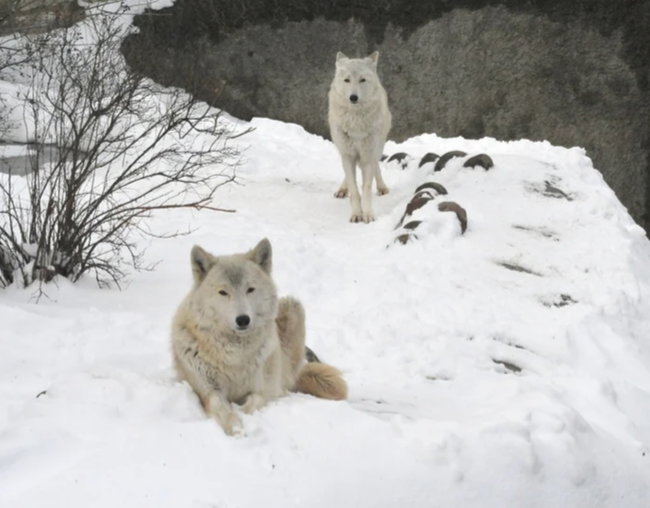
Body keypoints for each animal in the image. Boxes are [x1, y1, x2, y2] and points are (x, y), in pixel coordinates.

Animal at [170, 238, 346, 436]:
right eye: (223, 292)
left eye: (250, 289)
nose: (243, 319)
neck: (234, 354)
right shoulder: (209, 391)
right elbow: (222, 409)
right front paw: (236, 430)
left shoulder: (258, 389)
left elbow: (252, 404)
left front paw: (243, 419)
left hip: (292, 306)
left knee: (288, 380)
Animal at [326, 51, 392, 222]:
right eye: (347, 80)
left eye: (362, 80)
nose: (353, 97)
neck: (355, 122)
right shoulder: (348, 154)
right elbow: (355, 189)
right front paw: (356, 214)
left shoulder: (367, 155)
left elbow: (366, 187)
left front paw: (367, 214)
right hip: (344, 151)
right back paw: (342, 189)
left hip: (377, 147)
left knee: (376, 166)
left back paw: (382, 187)